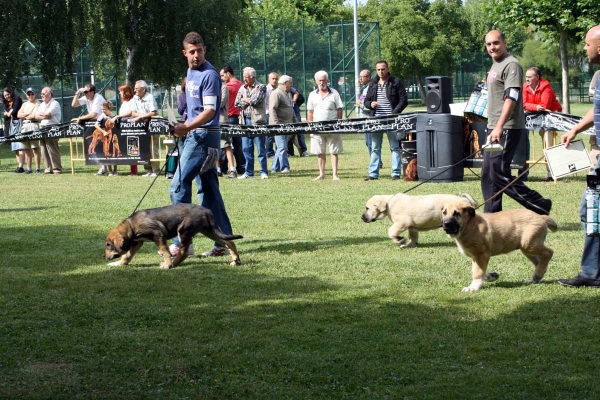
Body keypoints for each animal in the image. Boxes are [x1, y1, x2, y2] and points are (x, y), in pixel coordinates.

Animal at [104, 203, 243, 268]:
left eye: (108, 245)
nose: (103, 256)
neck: (131, 226)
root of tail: (207, 210)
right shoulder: (138, 242)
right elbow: (127, 256)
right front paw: (118, 264)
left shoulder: (158, 235)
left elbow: (165, 251)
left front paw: (167, 264)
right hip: (209, 231)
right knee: (229, 242)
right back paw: (235, 261)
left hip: (184, 231)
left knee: (184, 252)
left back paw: (173, 264)